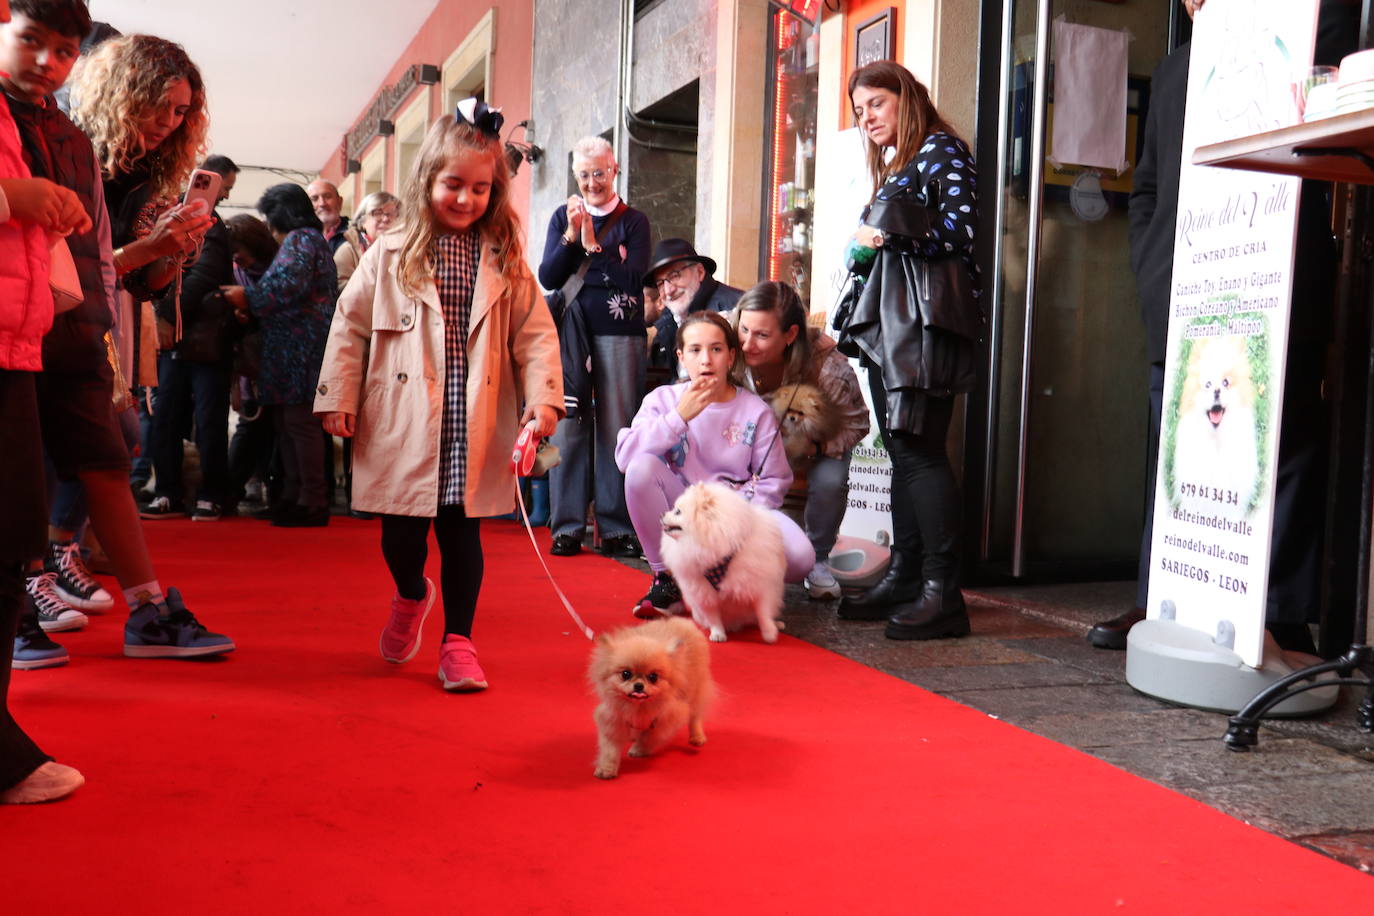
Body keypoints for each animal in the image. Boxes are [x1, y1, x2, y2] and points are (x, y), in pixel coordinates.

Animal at [588, 615, 719, 780]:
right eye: (625, 674)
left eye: (653, 677)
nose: (638, 685)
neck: (638, 707)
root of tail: (684, 622)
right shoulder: (613, 719)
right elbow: (610, 750)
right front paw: (607, 769)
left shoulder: (665, 720)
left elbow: (649, 737)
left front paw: (638, 749)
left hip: (695, 691)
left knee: (694, 716)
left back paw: (697, 737)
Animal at [659, 480, 791, 645]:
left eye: (678, 512)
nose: (662, 514)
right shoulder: (704, 593)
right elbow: (713, 617)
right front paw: (718, 633)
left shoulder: (759, 586)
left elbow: (763, 611)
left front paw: (769, 632)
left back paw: (777, 624)